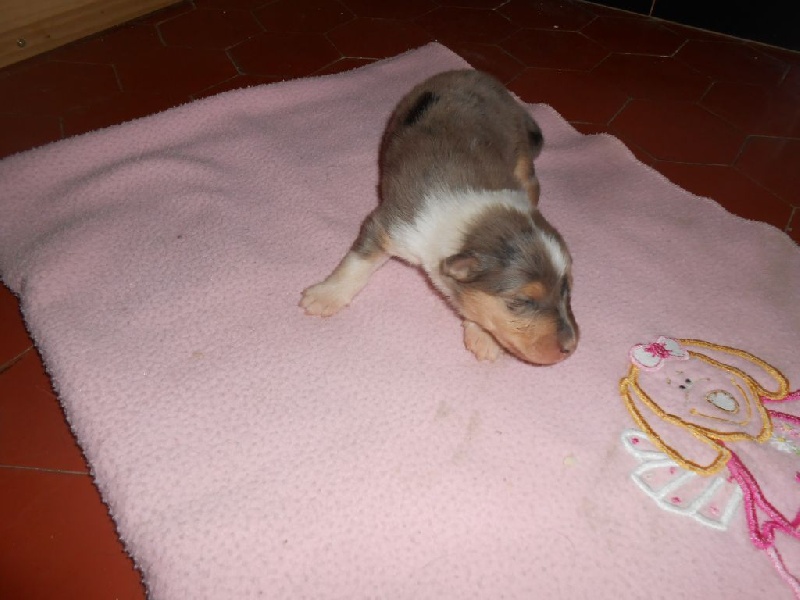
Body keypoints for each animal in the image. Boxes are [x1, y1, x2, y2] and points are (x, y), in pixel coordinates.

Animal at [300, 69, 578, 366]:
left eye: (567, 289)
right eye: (521, 302)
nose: (571, 347)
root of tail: (473, 73)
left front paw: (484, 339)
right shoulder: (390, 223)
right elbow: (356, 263)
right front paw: (324, 296)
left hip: (521, 150)